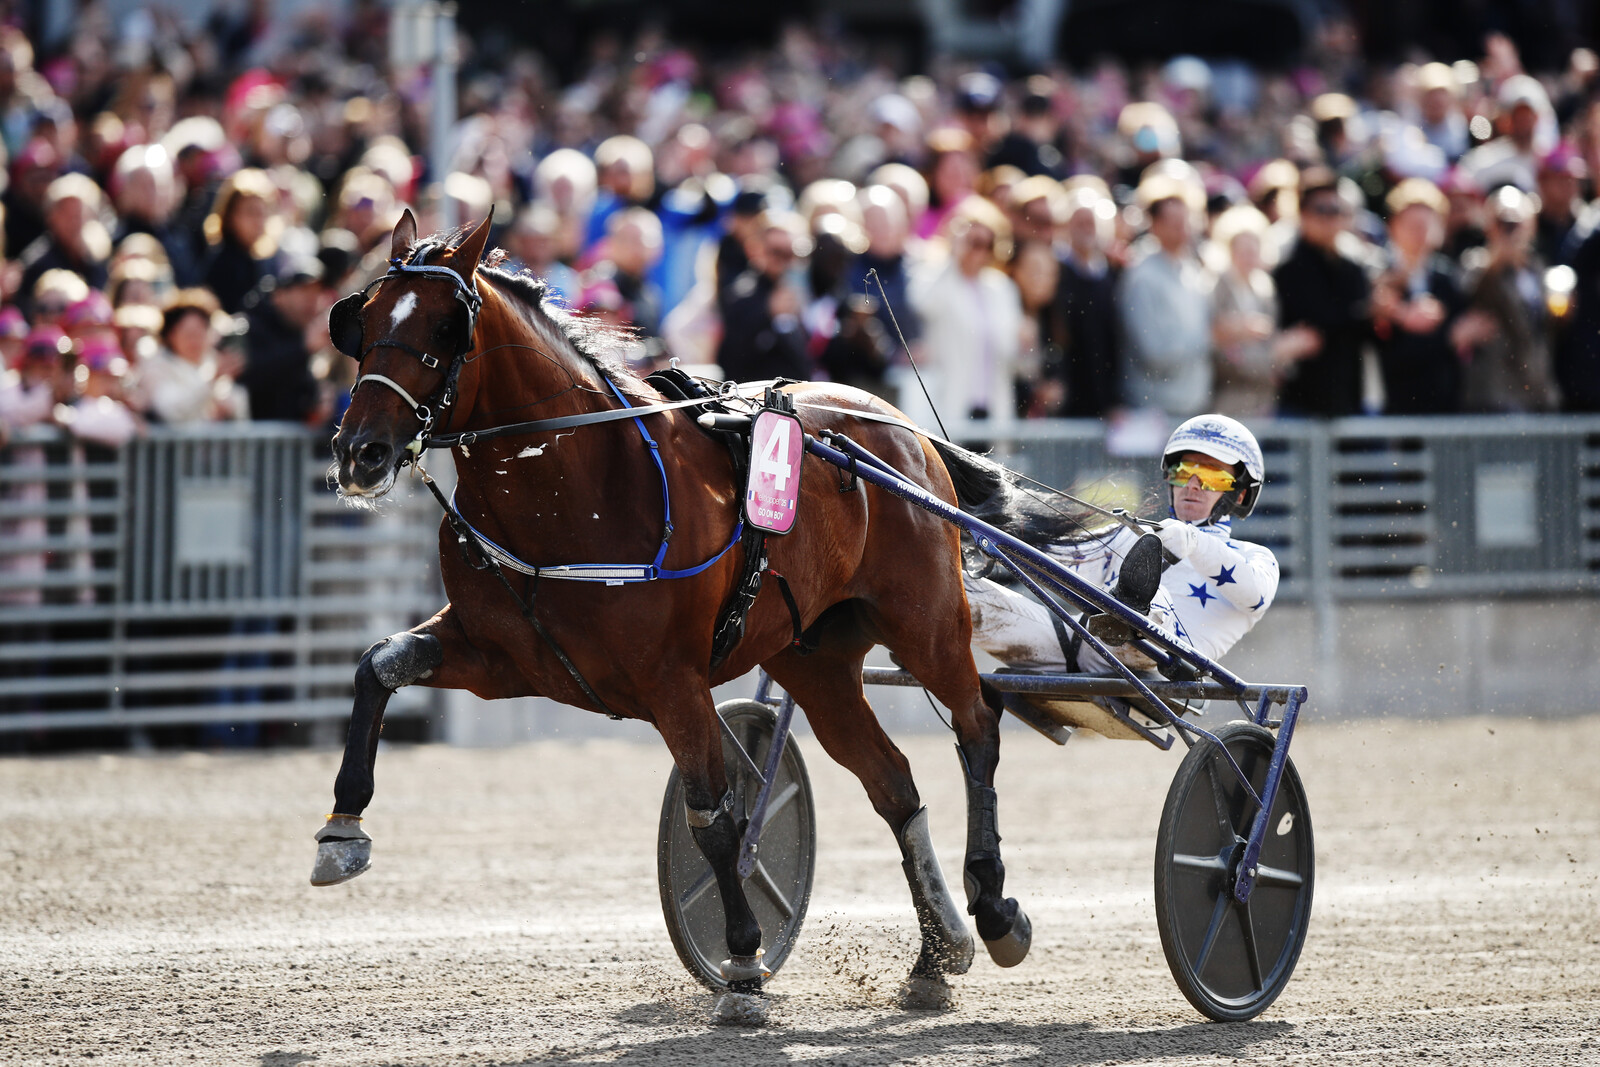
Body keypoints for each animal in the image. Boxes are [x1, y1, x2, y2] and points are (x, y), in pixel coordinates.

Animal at [317, 209, 1031, 1013]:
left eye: (446, 325)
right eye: (365, 318)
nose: (360, 451)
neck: (570, 487)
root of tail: (895, 422)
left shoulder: (672, 680)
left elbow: (715, 817)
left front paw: (744, 962)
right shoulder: (499, 656)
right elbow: (376, 666)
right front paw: (341, 831)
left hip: (925, 621)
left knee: (978, 725)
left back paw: (993, 909)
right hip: (814, 659)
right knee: (894, 782)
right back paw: (936, 954)